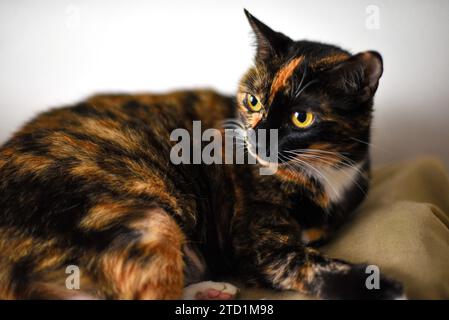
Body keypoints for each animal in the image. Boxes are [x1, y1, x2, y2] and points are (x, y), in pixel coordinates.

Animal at [0, 10, 402, 300]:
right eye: (253, 100)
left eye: (301, 117)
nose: (257, 138)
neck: (323, 172)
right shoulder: (261, 245)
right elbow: (304, 263)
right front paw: (381, 286)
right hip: (144, 221)